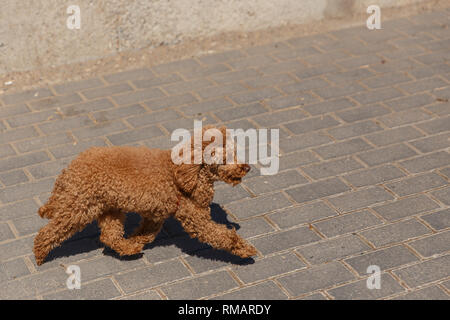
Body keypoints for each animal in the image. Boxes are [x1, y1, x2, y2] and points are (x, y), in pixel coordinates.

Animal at [33, 126, 258, 266]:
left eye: (236, 152)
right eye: (226, 157)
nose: (247, 167)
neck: (186, 172)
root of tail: (70, 168)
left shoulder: (155, 214)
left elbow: (147, 232)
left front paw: (137, 239)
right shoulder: (195, 217)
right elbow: (220, 235)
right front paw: (244, 249)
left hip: (109, 208)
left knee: (109, 236)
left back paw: (129, 247)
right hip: (80, 207)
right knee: (51, 230)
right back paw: (40, 254)